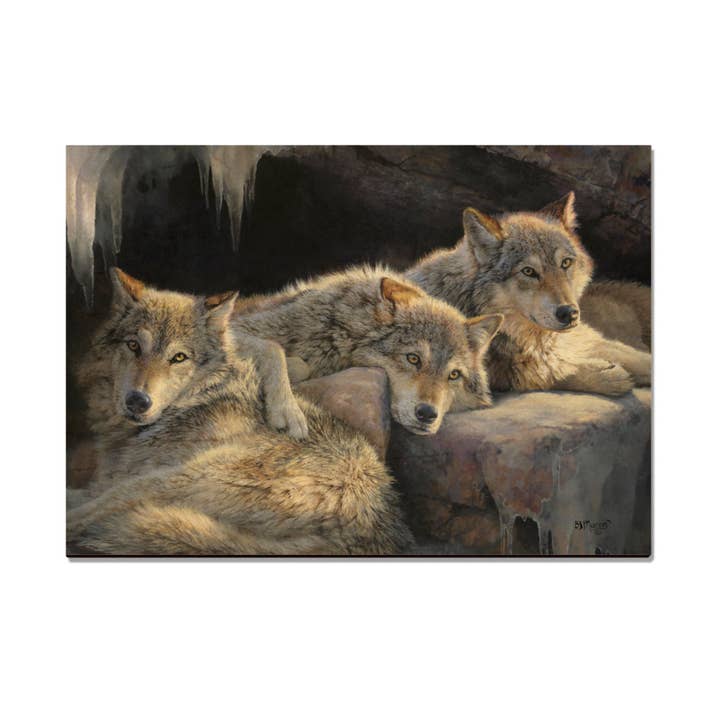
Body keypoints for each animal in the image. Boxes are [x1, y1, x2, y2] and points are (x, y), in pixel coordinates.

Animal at [67, 269, 413, 555]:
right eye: (133, 346)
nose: (138, 401)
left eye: (178, 357)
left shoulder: (124, 478)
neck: (198, 394)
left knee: (85, 516)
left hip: (179, 475)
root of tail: (369, 532)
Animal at [230, 266, 503, 437]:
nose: (427, 414)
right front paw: (288, 412)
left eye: (454, 375)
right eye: (413, 359)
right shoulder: (235, 327)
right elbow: (273, 349)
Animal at [405, 193, 651, 395]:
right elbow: (552, 374)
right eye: (529, 271)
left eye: (565, 263)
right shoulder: (501, 373)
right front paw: (609, 374)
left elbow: (640, 358)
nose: (569, 313)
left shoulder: (585, 339)